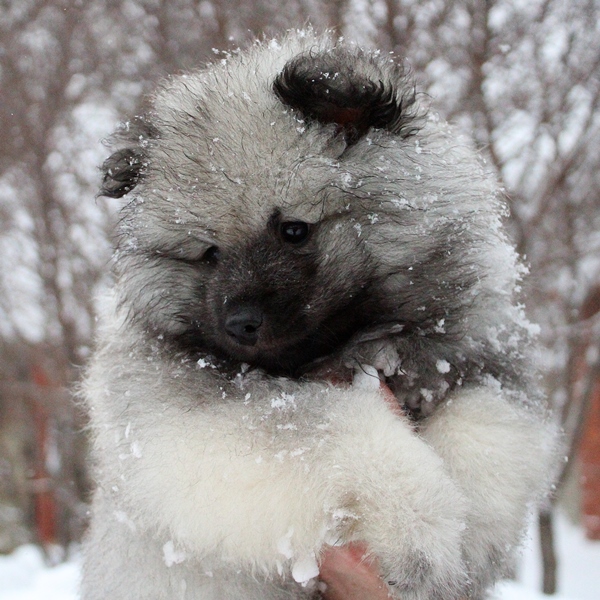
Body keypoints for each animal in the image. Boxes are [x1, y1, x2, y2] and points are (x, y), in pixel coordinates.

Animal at [79, 29, 556, 600]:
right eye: (209, 254)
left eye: (293, 230)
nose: (239, 323)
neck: (346, 345)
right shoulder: (180, 414)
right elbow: (339, 431)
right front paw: (422, 530)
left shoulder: (479, 359)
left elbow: (488, 430)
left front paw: (474, 539)